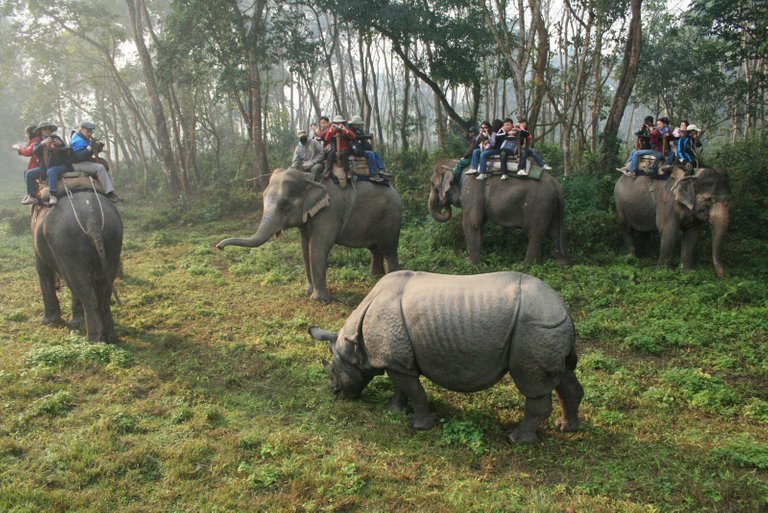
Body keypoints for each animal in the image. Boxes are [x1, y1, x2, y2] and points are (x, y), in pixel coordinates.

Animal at [31, 190, 123, 342]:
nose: (58, 286)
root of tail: (91, 217)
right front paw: (77, 323)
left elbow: (43, 270)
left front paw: (49, 323)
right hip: (113, 237)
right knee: (103, 286)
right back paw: (110, 337)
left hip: (66, 243)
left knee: (81, 285)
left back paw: (94, 339)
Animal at [216, 166, 402, 300]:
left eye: (284, 204)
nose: (219, 247)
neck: (309, 178)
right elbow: (304, 249)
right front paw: (307, 291)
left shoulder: (329, 211)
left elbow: (317, 248)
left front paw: (318, 300)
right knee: (376, 249)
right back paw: (375, 277)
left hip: (391, 218)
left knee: (389, 249)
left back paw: (391, 279)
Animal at [306, 270, 584, 442]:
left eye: (334, 370)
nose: (336, 392)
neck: (355, 344)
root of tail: (564, 309)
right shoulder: (396, 359)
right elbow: (402, 388)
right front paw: (393, 411)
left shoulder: (395, 358)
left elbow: (415, 391)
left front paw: (419, 426)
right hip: (547, 328)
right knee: (562, 376)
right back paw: (566, 427)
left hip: (535, 328)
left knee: (532, 384)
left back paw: (517, 439)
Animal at [426, 159, 568, 264]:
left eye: (432, 184)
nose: (443, 204)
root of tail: (557, 185)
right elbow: (480, 224)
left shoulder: (471, 190)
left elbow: (471, 223)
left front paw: (471, 265)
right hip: (552, 206)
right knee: (554, 233)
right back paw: (562, 264)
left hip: (539, 204)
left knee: (535, 234)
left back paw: (525, 266)